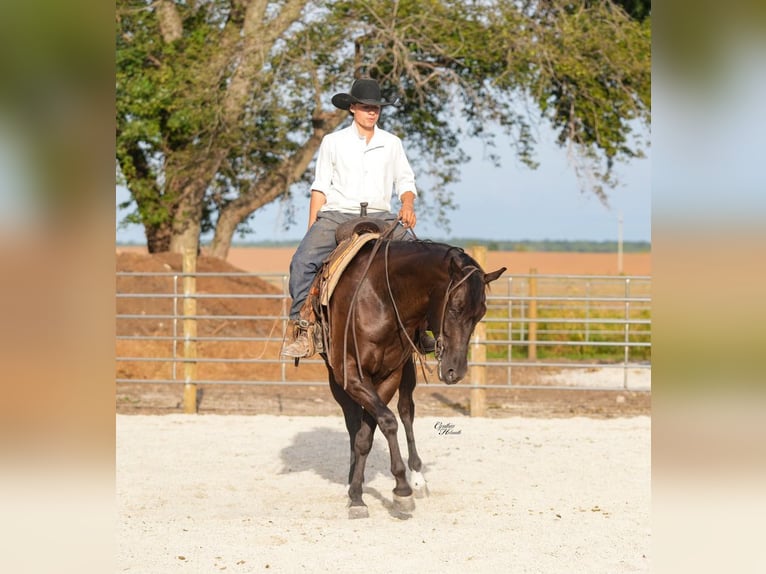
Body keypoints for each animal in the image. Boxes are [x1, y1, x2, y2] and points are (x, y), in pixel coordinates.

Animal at [315, 237, 505, 518]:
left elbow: (372, 431)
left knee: (406, 410)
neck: (379, 297)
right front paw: (365, 492)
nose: (456, 371)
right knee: (357, 419)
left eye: (480, 313)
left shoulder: (390, 375)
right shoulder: (349, 374)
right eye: (455, 308)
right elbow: (379, 423)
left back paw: (417, 477)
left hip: (406, 372)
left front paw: (390, 489)